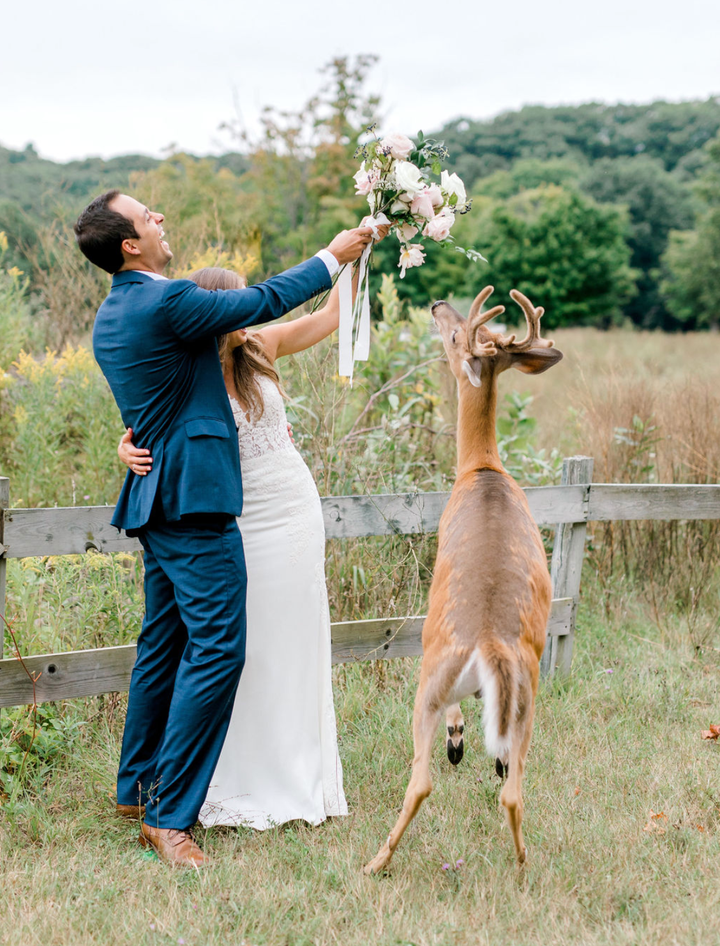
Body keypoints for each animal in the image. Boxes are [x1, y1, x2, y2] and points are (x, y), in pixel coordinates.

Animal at [366, 284, 564, 872]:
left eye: (457, 336)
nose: (436, 306)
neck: (482, 469)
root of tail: (489, 645)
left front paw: (458, 738)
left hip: (430, 678)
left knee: (421, 779)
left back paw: (376, 861)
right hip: (527, 699)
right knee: (514, 787)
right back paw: (522, 861)